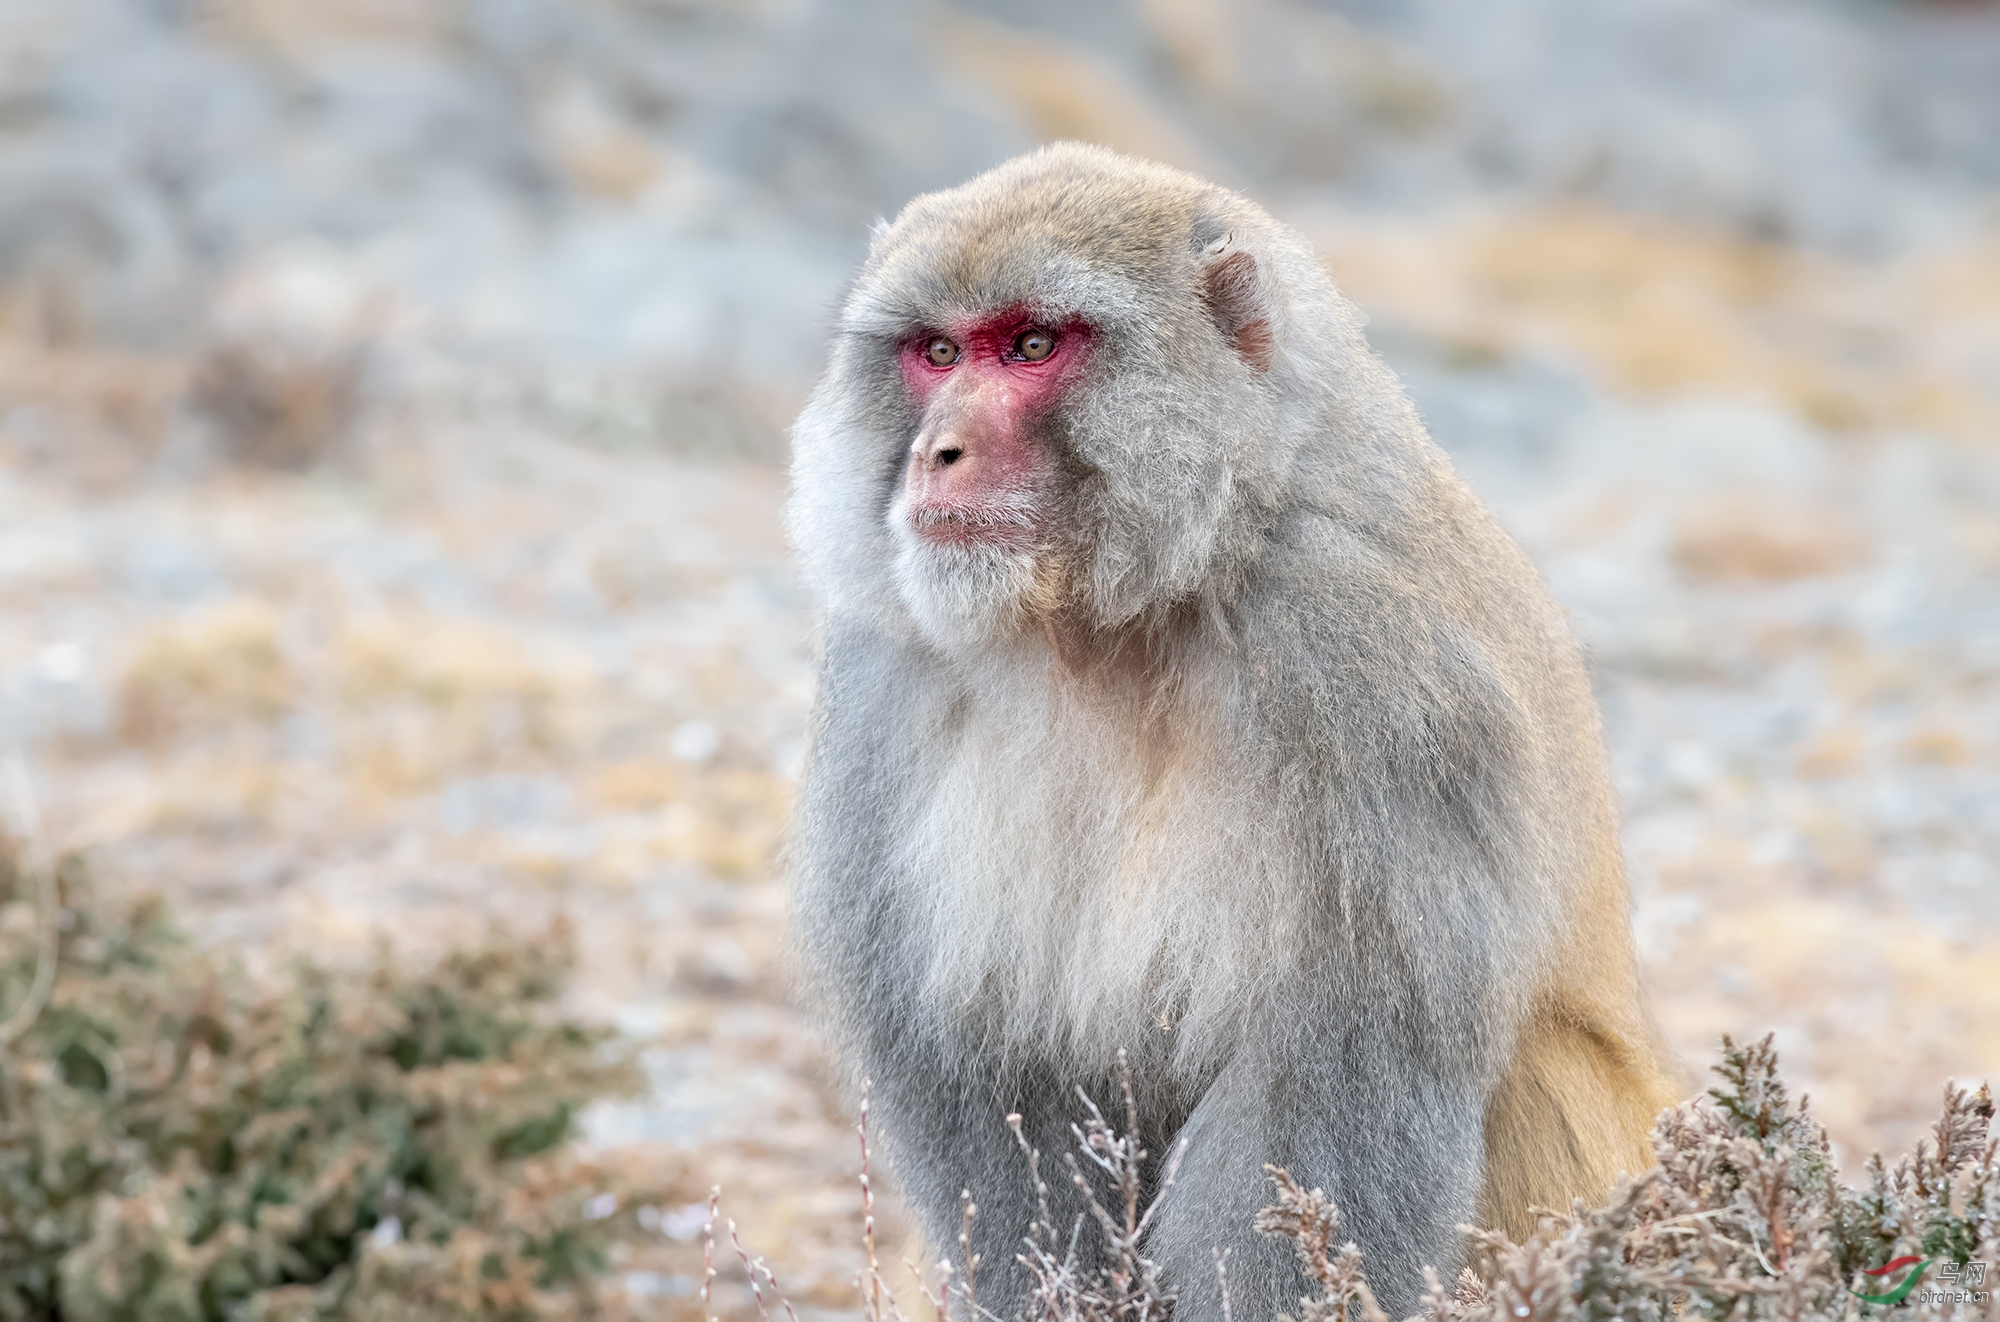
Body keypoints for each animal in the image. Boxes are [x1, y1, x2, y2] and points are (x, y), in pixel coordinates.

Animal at [780, 144, 1672, 1320]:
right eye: (936, 351)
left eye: (1032, 344)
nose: (940, 452)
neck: (1128, 609)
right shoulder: (888, 680)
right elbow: (984, 1073)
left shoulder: (1368, 675)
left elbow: (1329, 1085)